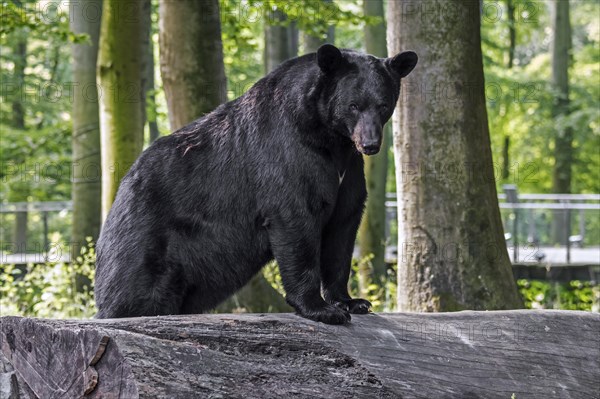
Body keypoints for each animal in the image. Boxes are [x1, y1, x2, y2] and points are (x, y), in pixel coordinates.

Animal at [97, 44, 418, 324]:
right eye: (353, 106)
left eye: (383, 105)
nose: (370, 144)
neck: (329, 140)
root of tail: (120, 192)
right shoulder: (287, 153)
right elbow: (296, 219)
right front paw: (321, 309)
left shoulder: (347, 171)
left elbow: (342, 229)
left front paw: (351, 301)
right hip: (144, 239)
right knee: (130, 292)